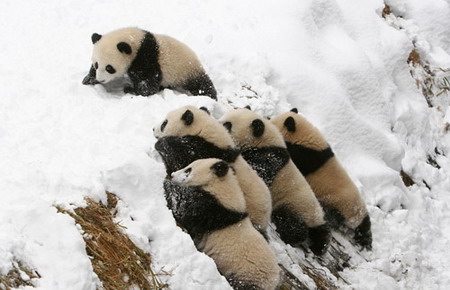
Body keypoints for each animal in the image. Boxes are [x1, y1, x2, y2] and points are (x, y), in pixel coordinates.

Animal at [81, 27, 217, 99]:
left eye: (109, 68)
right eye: (96, 65)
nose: (101, 79)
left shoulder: (146, 57)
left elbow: (149, 82)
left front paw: (131, 89)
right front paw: (89, 79)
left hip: (186, 70)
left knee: (202, 85)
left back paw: (209, 96)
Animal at [163, 159, 280, 290]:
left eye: (188, 170)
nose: (172, 175)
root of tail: (274, 281)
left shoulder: (211, 209)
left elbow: (182, 204)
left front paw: (165, 182)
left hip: (248, 276)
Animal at [221, 107, 330, 255]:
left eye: (228, 125)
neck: (266, 140)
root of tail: (314, 218)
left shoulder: (268, 159)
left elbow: (259, 172)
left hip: (293, 205)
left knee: (289, 223)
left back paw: (295, 236)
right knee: (323, 231)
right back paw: (320, 246)